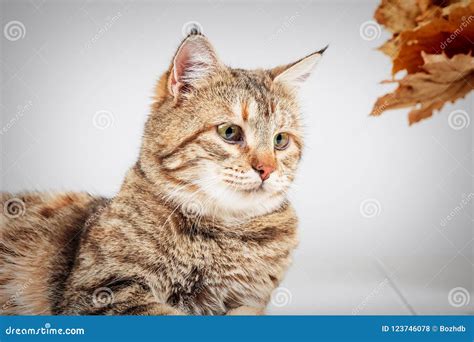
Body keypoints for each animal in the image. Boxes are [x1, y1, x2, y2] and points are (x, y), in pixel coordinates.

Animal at [0, 32, 324, 316]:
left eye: (280, 140)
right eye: (230, 132)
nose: (267, 169)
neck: (226, 230)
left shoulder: (250, 299)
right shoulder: (98, 291)